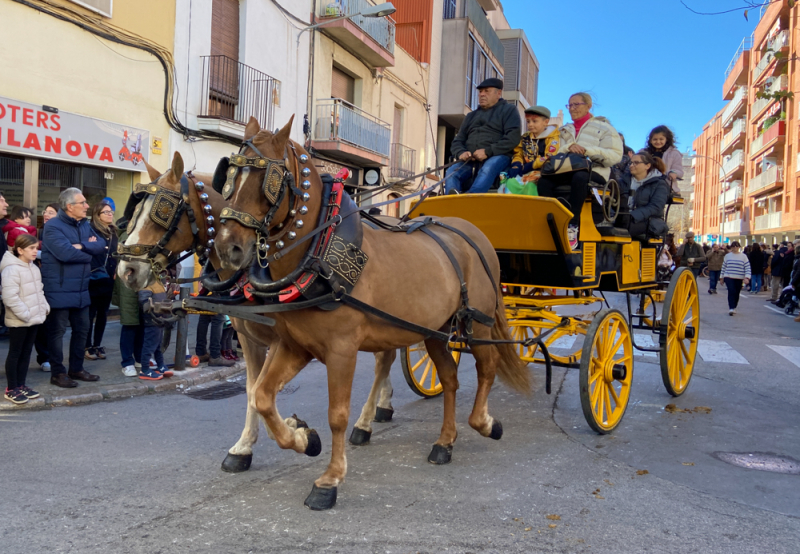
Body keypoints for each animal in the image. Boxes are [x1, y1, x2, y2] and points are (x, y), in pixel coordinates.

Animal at [115, 152, 396, 474]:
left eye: (163, 209)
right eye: (136, 209)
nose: (126, 269)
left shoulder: (281, 340)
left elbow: (265, 390)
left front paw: (294, 432)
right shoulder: (248, 338)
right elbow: (253, 390)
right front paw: (247, 446)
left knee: (384, 360)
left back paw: (366, 420)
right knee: (388, 356)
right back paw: (382, 407)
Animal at [212, 116, 532, 508]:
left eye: (269, 180)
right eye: (229, 176)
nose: (227, 248)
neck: (319, 254)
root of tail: (474, 233)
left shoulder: (341, 350)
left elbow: (337, 415)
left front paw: (330, 479)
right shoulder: (293, 346)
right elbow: (261, 396)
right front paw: (302, 437)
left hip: (479, 324)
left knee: (486, 369)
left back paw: (484, 423)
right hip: (434, 331)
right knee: (451, 379)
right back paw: (445, 441)